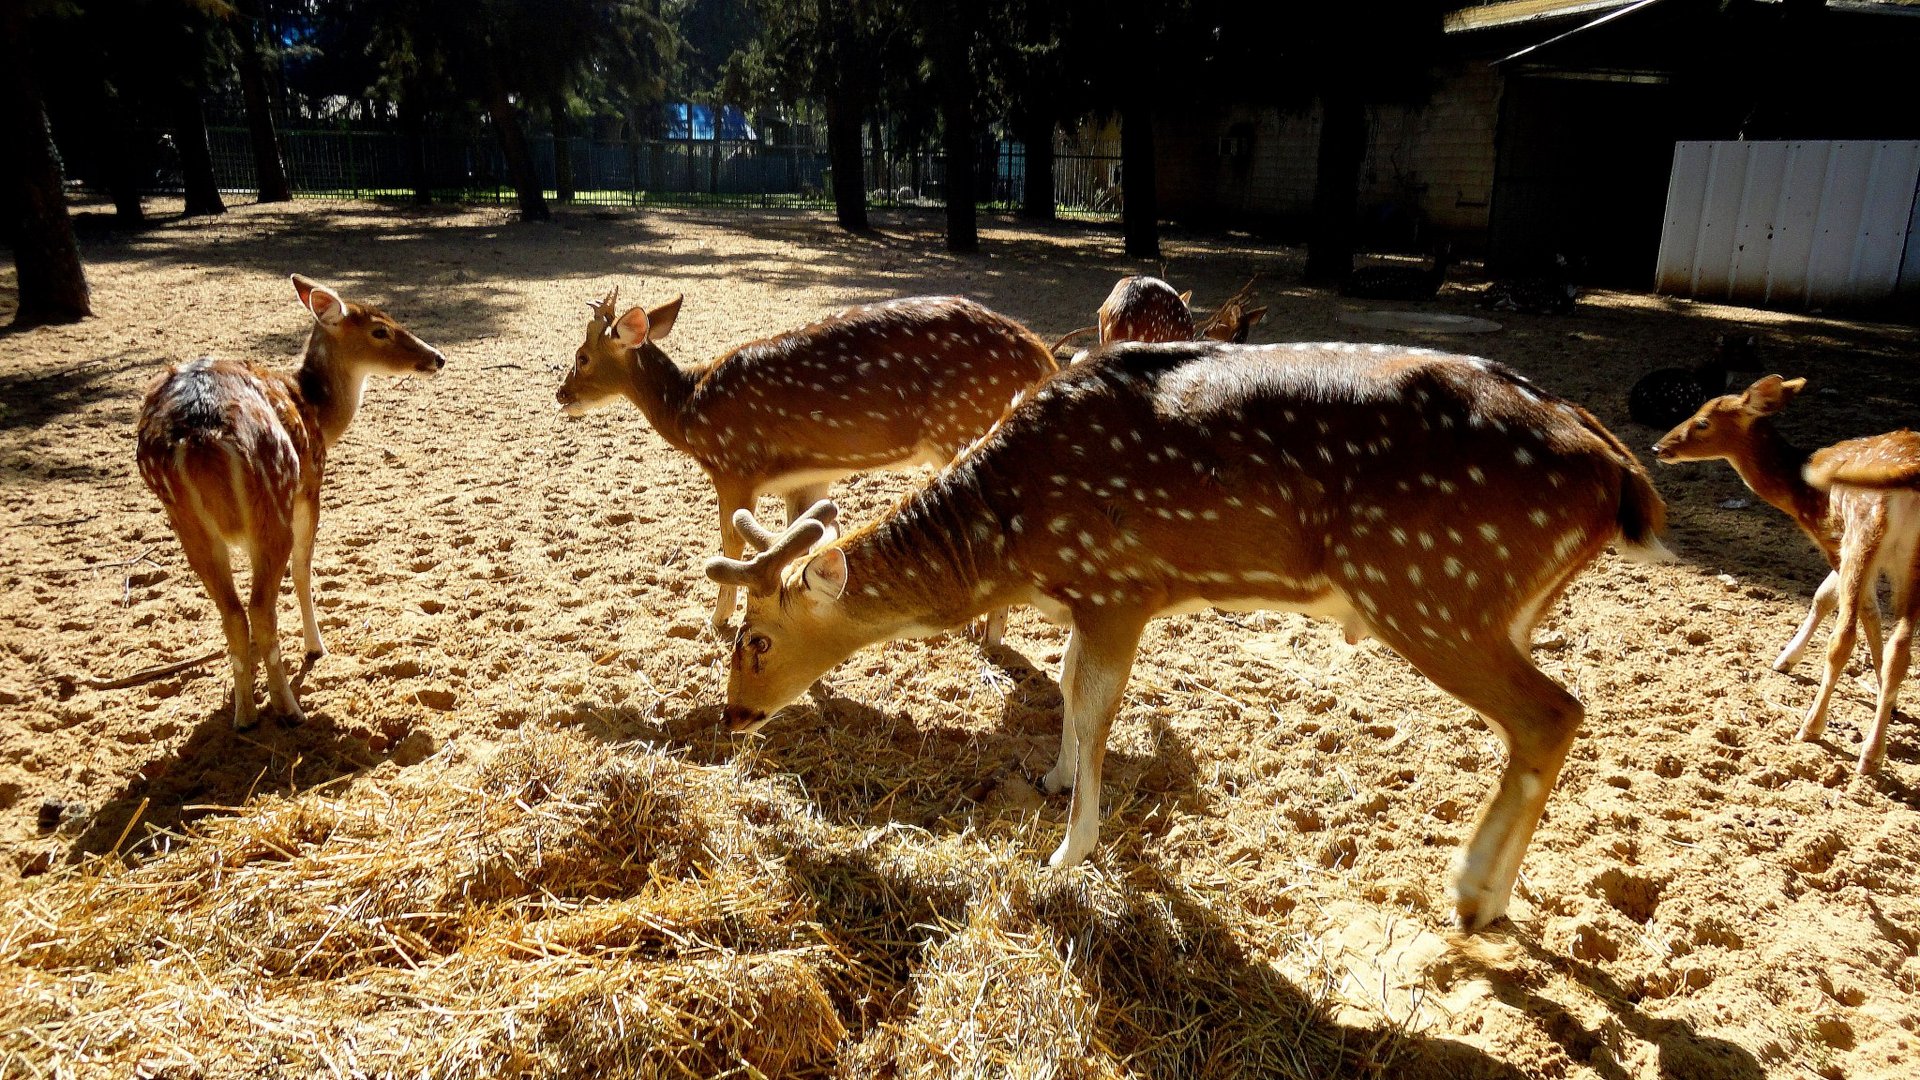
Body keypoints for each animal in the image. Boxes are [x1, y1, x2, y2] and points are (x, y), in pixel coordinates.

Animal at [139, 272, 445, 726]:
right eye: (380, 329)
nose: (438, 357)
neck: (318, 412)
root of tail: (200, 441)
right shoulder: (311, 483)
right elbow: (303, 568)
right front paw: (315, 646)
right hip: (273, 501)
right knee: (260, 607)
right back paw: (288, 706)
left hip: (186, 521)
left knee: (233, 612)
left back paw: (245, 713)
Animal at [556, 290, 1059, 634]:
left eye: (582, 357)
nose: (561, 395)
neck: (689, 413)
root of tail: (1041, 355)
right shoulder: (806, 482)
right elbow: (800, 544)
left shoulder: (734, 468)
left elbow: (730, 544)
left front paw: (715, 620)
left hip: (964, 428)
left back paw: (987, 635)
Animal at [702, 338, 1666, 926]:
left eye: (756, 639)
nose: (732, 716)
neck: (1013, 544)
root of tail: (1622, 477)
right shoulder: (1090, 599)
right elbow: (1065, 681)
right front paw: (1051, 780)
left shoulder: (1118, 584)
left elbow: (1095, 705)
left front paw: (1067, 854)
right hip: (1493, 606)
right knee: (1549, 717)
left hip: (1431, 588)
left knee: (1553, 712)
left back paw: (1475, 897)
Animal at [1651, 374, 1920, 768]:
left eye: (1702, 421)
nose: (1658, 447)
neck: (1797, 489)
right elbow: (1830, 598)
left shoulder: (1832, 536)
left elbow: (1848, 605)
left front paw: (1785, 660)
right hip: (1910, 560)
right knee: (1903, 648)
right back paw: (1873, 751)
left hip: (1864, 528)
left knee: (1843, 638)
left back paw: (1817, 729)